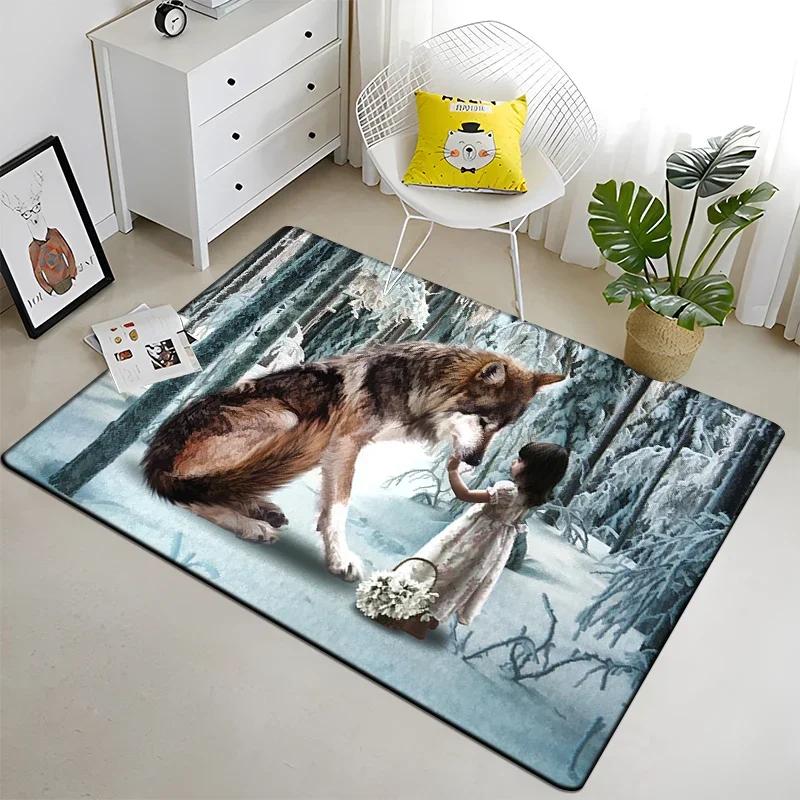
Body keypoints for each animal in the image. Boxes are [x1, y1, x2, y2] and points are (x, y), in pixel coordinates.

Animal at [142, 342, 564, 581]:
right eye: (484, 421)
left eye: (501, 428)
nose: (475, 462)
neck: (416, 387)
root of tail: (155, 453)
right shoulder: (345, 443)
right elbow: (339, 507)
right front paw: (340, 558)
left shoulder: (341, 449)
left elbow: (330, 504)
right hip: (287, 419)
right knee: (194, 494)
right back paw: (250, 524)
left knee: (228, 483)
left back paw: (260, 509)